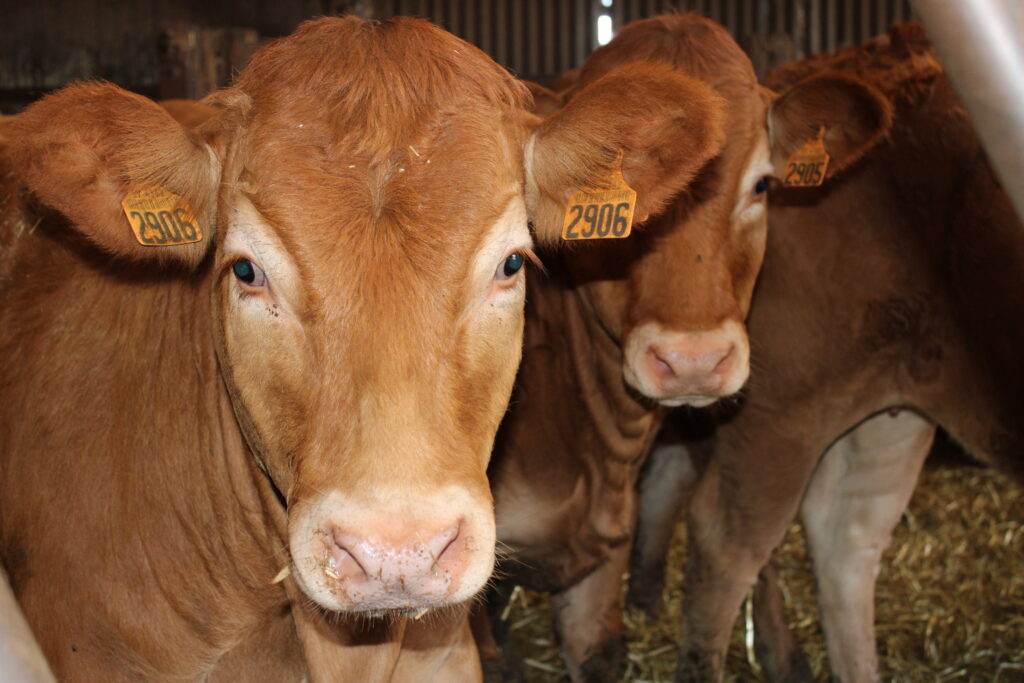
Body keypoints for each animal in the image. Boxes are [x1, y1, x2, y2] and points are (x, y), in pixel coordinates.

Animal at [630, 22, 1024, 682]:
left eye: (762, 183)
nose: (693, 360)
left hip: (892, 399)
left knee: (846, 544)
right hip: (785, 410)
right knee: (726, 542)